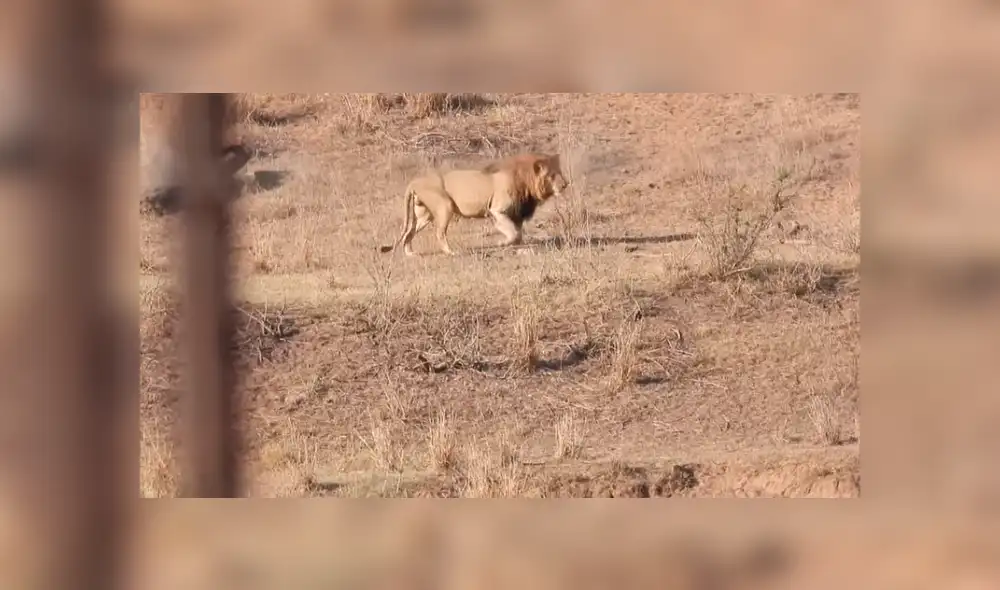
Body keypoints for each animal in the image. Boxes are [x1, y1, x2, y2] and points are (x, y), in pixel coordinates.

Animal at [380, 152, 570, 256]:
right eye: (552, 175)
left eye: (559, 172)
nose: (565, 184)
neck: (525, 181)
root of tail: (414, 182)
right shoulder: (497, 210)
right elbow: (514, 233)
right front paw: (502, 244)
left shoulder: (516, 214)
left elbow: (518, 234)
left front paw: (519, 248)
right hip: (445, 206)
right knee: (439, 233)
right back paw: (451, 252)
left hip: (424, 215)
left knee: (409, 232)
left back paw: (410, 253)